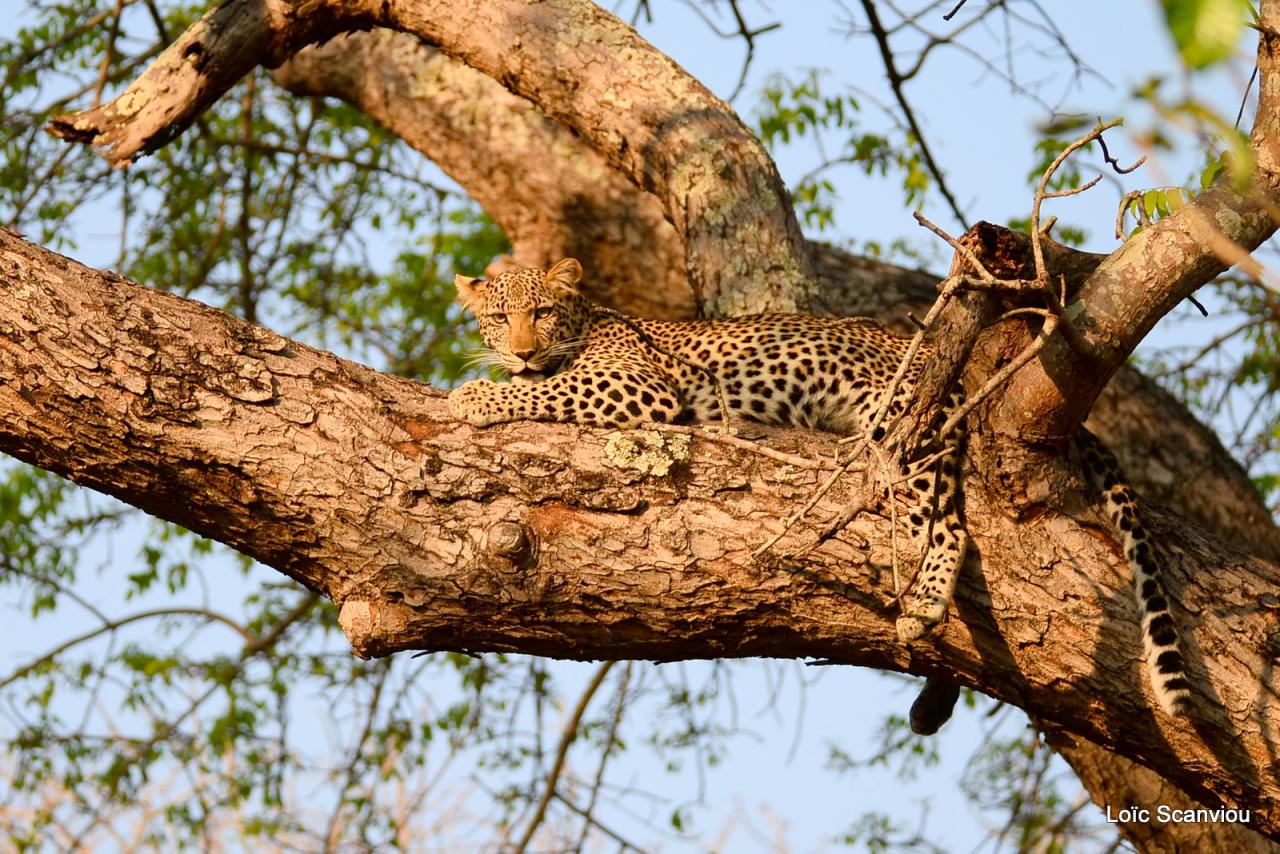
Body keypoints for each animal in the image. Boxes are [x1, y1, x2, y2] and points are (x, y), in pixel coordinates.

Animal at [448, 257, 1187, 717]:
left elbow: (548, 389)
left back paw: (920, 596)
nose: (520, 350)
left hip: (902, 426)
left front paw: (473, 397)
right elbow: (539, 385)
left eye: (542, 311)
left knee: (944, 524)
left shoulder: (638, 385)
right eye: (499, 319)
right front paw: (491, 381)